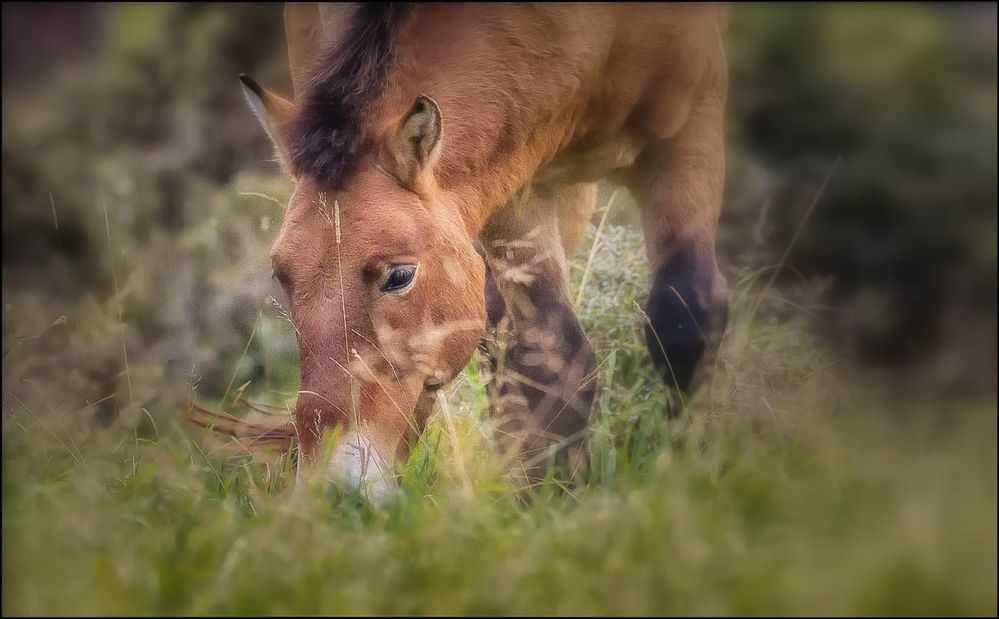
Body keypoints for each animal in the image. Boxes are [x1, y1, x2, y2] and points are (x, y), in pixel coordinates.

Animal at [239, 2, 732, 502]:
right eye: (282, 276)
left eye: (399, 276)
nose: (333, 484)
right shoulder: (516, 184)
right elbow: (549, 355)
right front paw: (553, 493)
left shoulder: (692, 131)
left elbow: (684, 318)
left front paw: (688, 470)